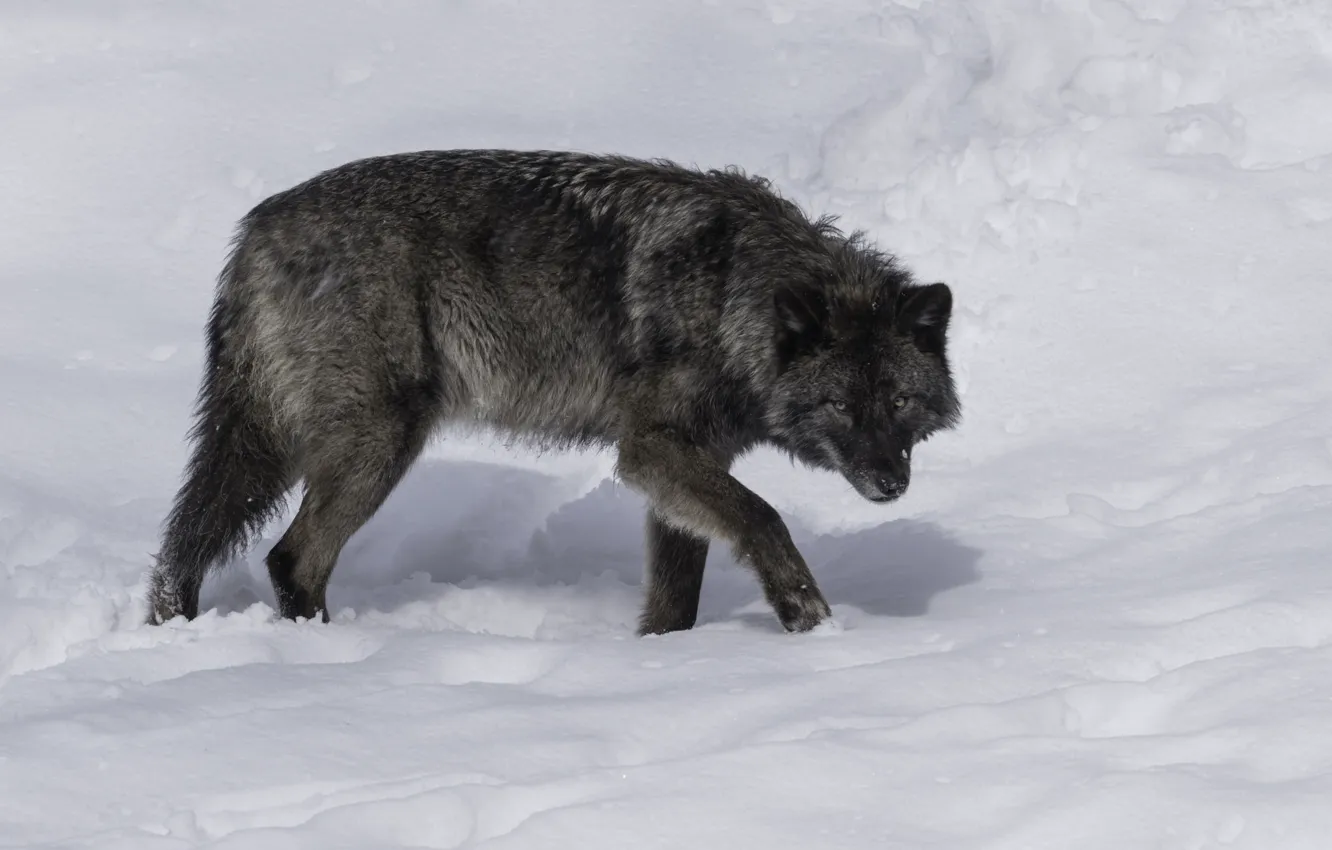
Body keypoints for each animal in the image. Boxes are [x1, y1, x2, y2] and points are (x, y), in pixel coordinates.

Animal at [146, 149, 960, 635]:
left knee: (188, 545)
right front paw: (807, 616)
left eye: (899, 403)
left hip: (280, 447)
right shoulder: (652, 451)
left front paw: (668, 658)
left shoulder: (682, 469)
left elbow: (677, 594)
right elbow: (763, 516)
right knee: (292, 560)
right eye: (840, 406)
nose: (889, 484)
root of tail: (255, 230)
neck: (733, 293)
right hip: (374, 445)